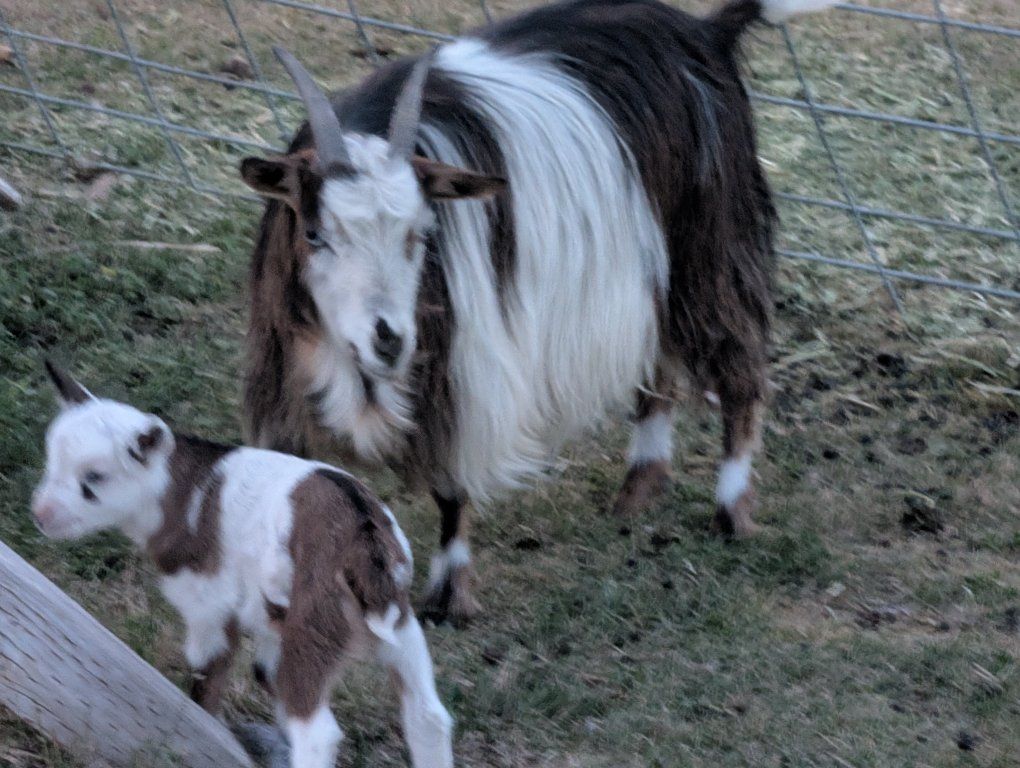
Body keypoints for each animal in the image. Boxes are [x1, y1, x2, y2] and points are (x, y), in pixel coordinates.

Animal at [32, 362, 453, 768]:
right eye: (51, 460)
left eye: (94, 478)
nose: (40, 514)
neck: (183, 490)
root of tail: (363, 545)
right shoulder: (268, 622)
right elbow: (264, 672)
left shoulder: (208, 603)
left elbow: (207, 676)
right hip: (400, 626)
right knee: (428, 716)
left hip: (315, 624)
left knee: (317, 731)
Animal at [239, 0, 839, 623]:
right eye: (314, 233)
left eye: (423, 232)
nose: (389, 339)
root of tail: (706, 31)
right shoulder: (284, 372)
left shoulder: (466, 367)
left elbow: (452, 483)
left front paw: (450, 594)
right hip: (650, 265)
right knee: (657, 366)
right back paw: (640, 486)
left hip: (710, 244)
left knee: (739, 368)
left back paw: (731, 510)